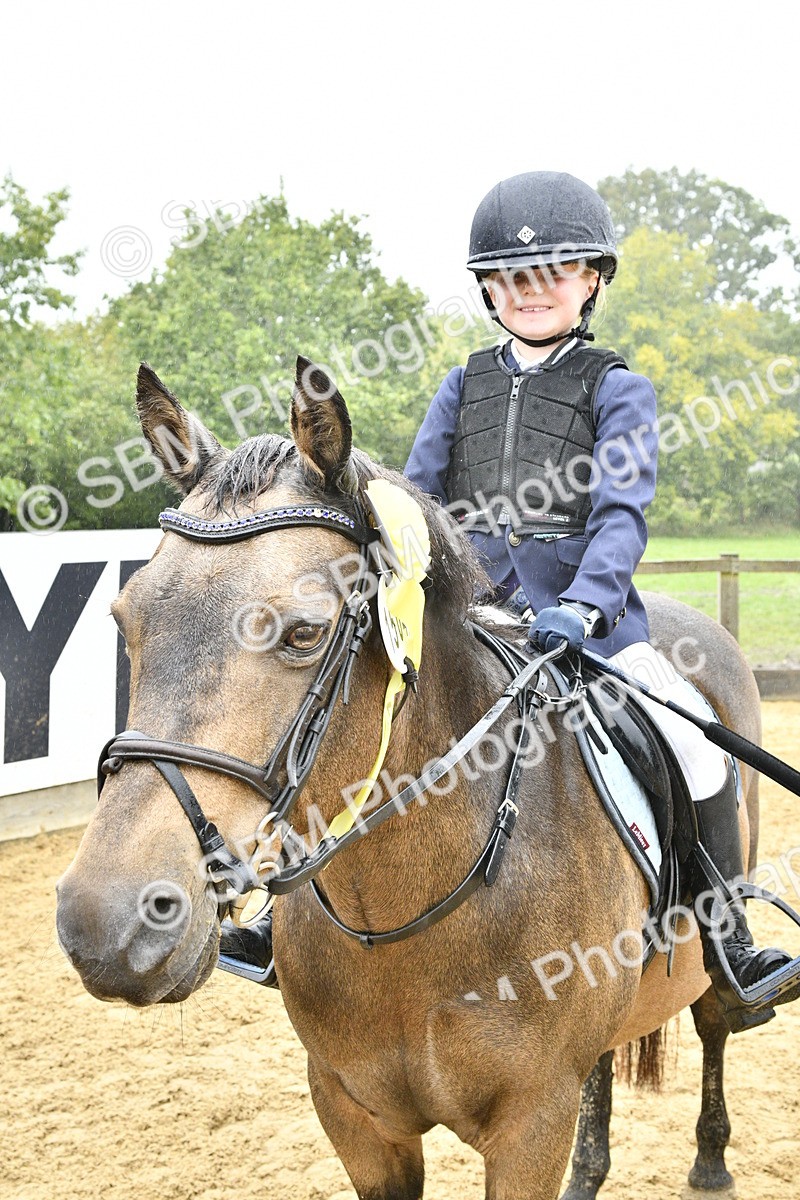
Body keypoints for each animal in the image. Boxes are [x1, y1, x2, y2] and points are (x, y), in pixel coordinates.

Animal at [56, 358, 763, 1200]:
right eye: (124, 621)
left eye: (305, 633)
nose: (106, 924)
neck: (402, 912)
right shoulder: (355, 1118)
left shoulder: (532, 1125)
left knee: (716, 1020)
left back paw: (713, 1154)